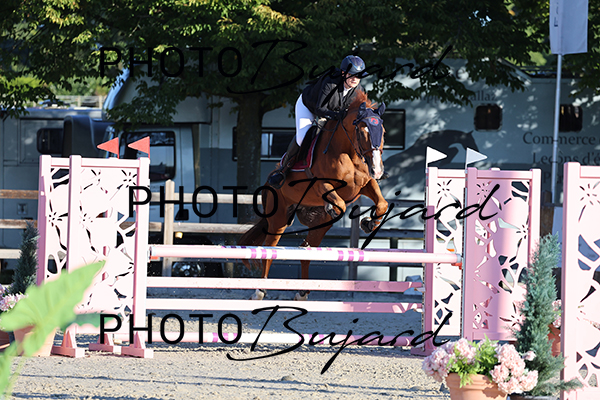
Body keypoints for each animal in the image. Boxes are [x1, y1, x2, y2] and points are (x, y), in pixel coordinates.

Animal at [238, 91, 389, 300]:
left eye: (383, 132)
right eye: (361, 131)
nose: (377, 169)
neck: (348, 152)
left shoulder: (365, 184)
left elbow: (382, 203)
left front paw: (369, 223)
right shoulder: (320, 184)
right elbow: (340, 203)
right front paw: (334, 209)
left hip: (319, 225)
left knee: (305, 248)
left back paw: (302, 293)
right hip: (279, 218)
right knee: (269, 249)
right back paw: (260, 291)